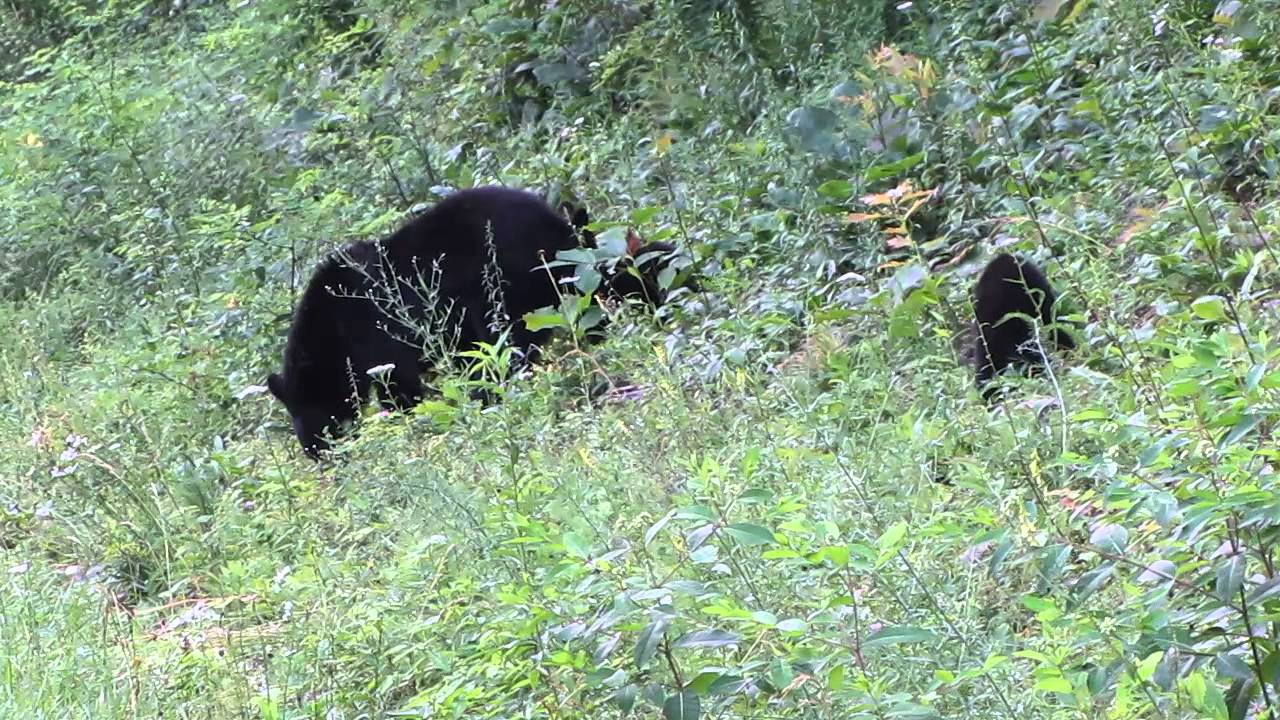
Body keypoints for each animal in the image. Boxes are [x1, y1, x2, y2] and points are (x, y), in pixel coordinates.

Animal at [268, 186, 679, 457]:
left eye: (316, 419)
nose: (318, 455)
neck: (331, 332)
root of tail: (556, 224)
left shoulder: (376, 334)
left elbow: (400, 386)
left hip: (508, 285)